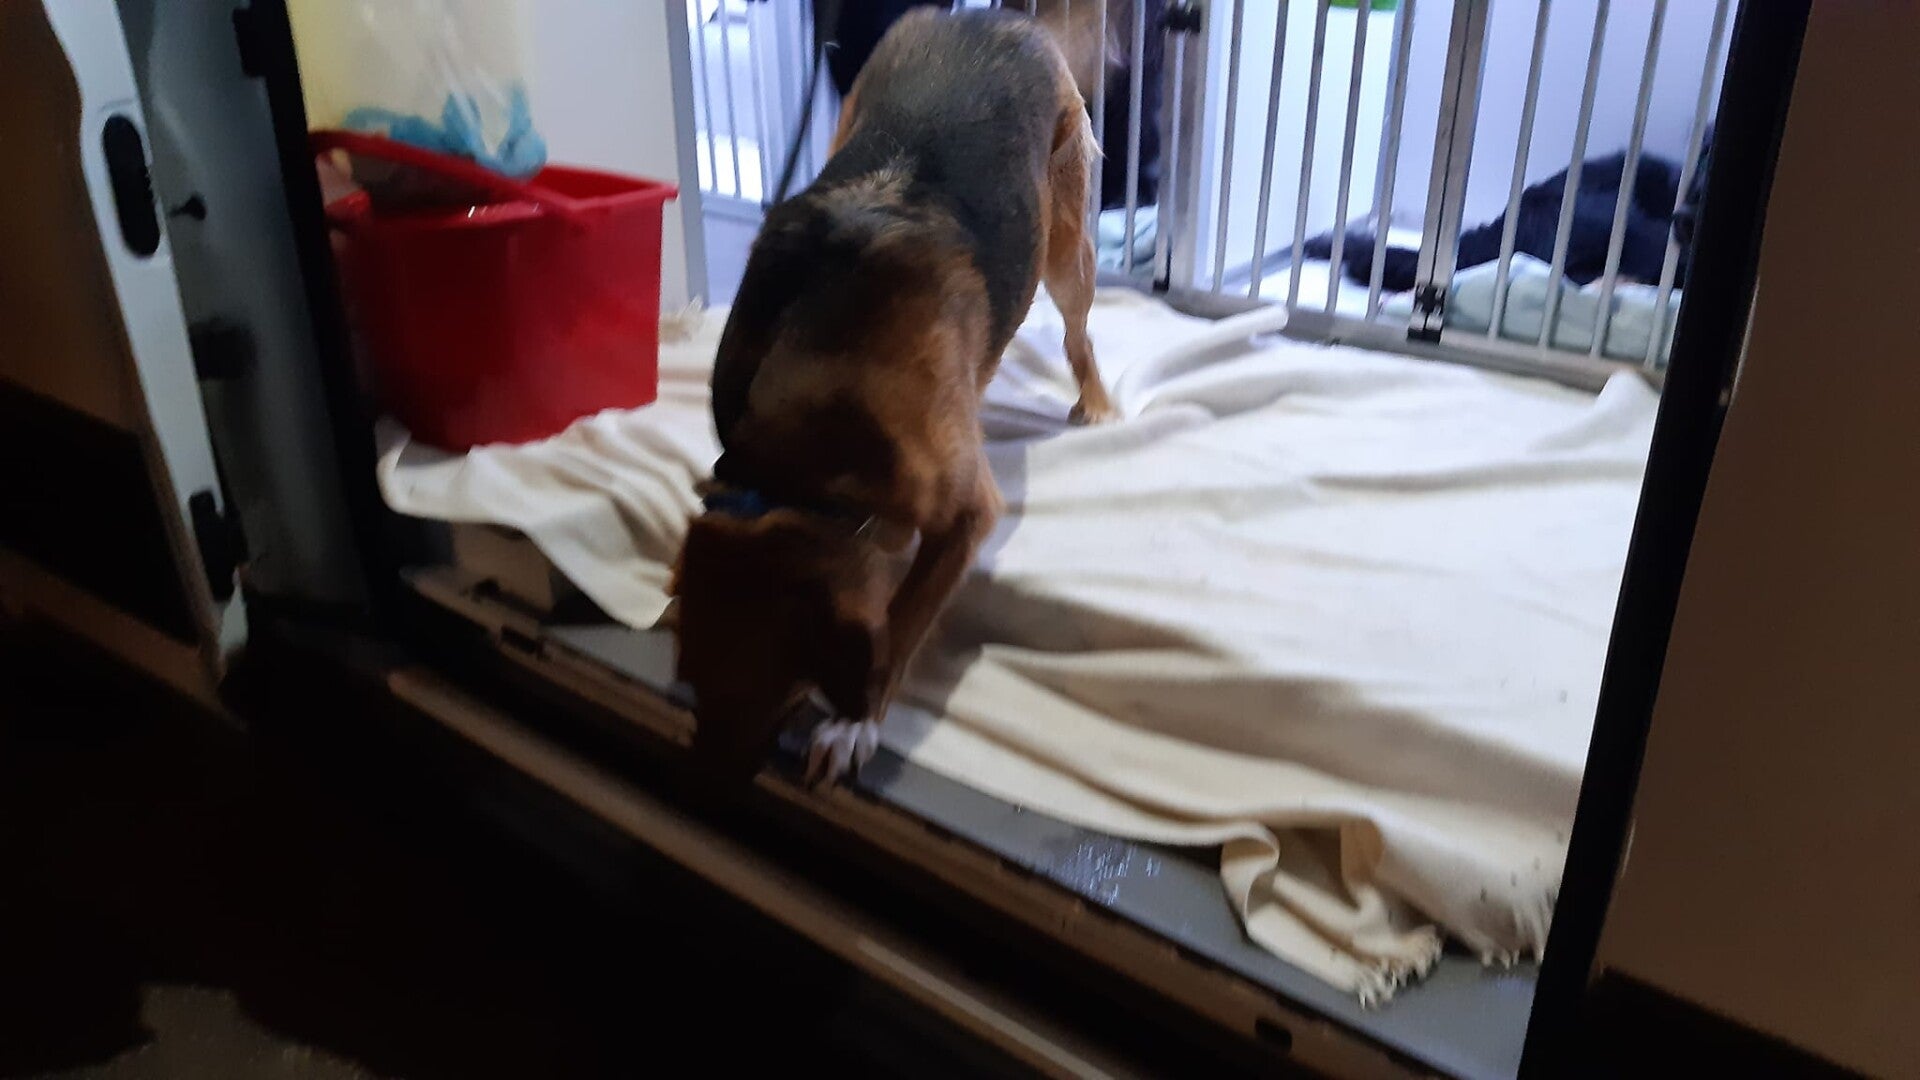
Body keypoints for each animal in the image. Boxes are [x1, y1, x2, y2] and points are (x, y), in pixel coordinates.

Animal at [672, 9, 1113, 786]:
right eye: (690, 686)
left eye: (761, 691)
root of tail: (1002, 16)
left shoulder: (966, 513)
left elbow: (901, 621)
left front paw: (856, 719)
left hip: (1066, 253)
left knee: (1078, 334)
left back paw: (1094, 400)